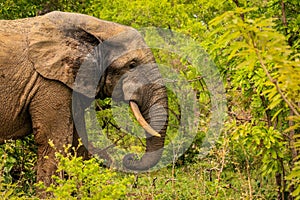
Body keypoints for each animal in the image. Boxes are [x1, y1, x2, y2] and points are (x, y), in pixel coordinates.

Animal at [0, 11, 169, 188]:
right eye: (132, 65)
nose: (130, 157)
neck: (98, 26)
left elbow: (78, 142)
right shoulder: (50, 83)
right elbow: (55, 142)